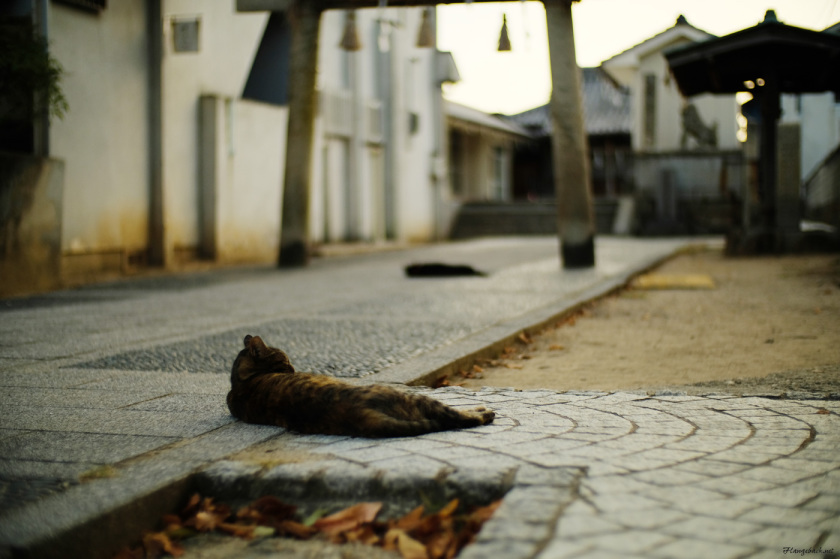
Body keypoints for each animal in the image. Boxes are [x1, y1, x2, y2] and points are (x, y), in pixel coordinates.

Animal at [226, 336, 496, 438]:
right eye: (285, 360)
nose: (293, 368)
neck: (242, 382)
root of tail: (361, 415)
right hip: (414, 398)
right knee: (455, 417)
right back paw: (483, 412)